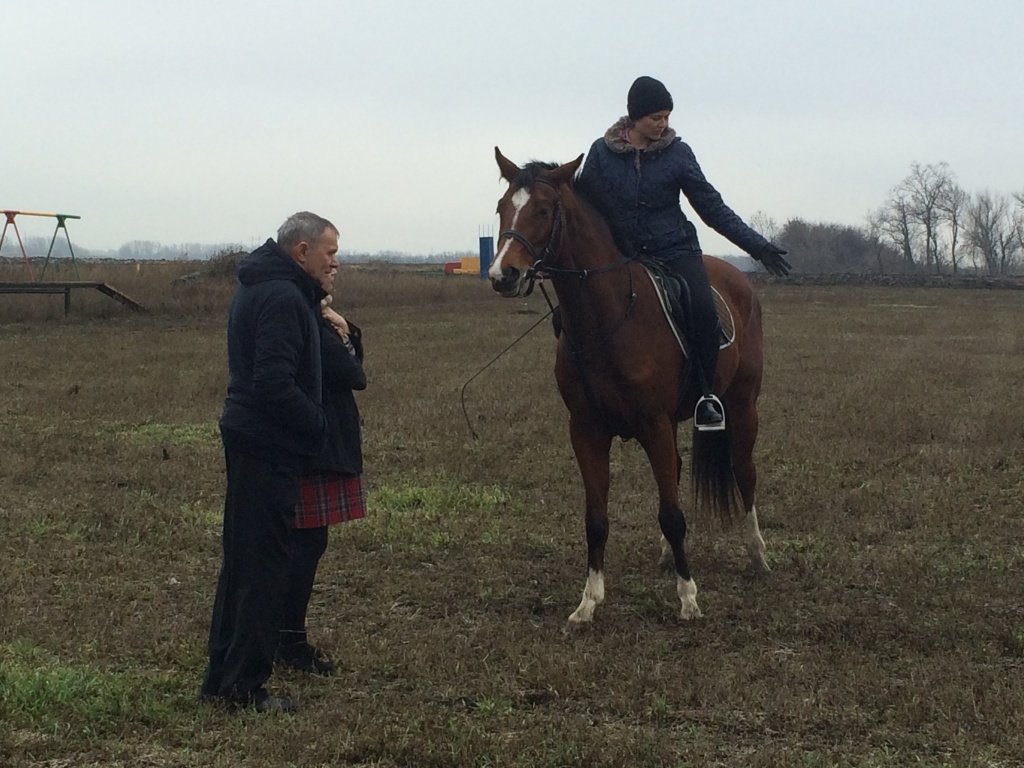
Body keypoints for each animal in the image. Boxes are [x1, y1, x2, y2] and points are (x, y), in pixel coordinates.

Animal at [487, 147, 770, 626]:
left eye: (543, 210)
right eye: (502, 207)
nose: (502, 274)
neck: (609, 316)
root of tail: (739, 281)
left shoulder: (653, 423)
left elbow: (672, 513)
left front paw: (688, 598)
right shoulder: (586, 430)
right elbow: (596, 518)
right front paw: (588, 603)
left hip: (741, 404)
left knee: (743, 472)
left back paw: (757, 555)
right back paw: (668, 556)